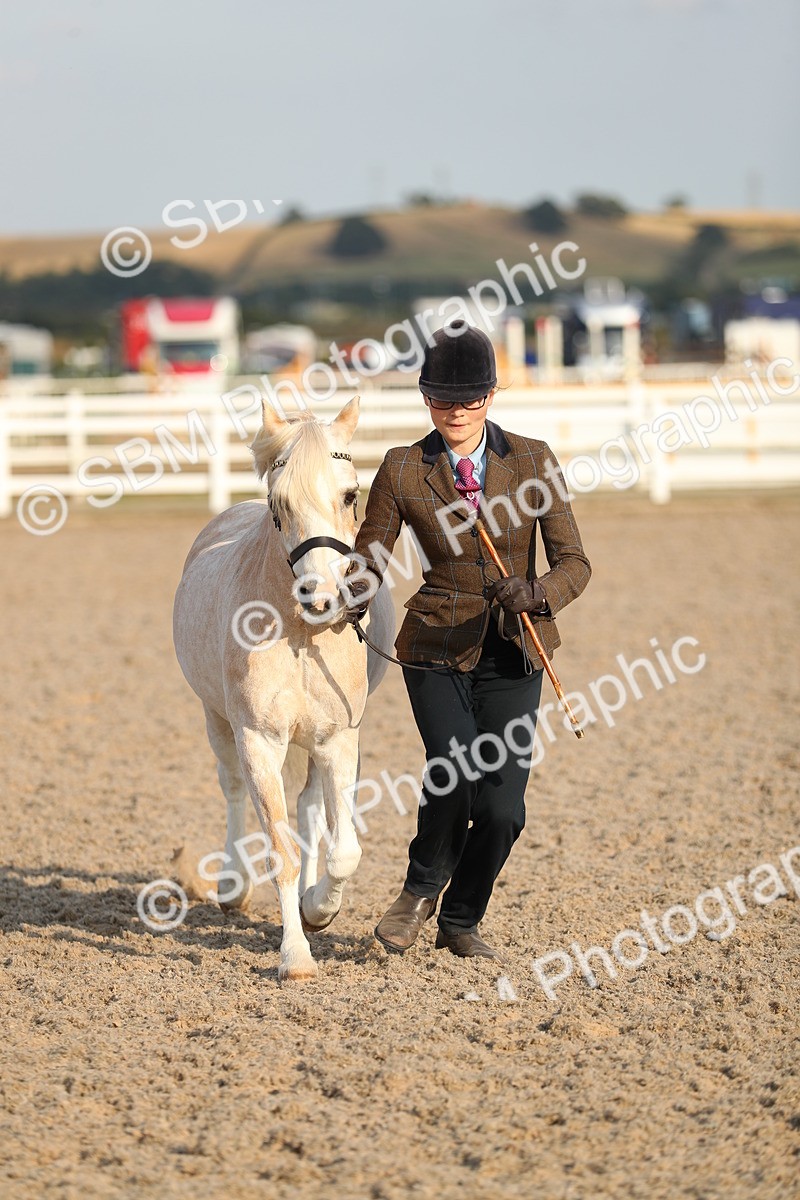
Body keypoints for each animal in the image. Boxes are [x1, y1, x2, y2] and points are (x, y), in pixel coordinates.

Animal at [173, 395, 395, 981]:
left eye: (350, 493)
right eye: (280, 502)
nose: (323, 598)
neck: (299, 633)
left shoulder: (339, 739)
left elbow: (342, 849)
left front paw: (320, 910)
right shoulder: (259, 741)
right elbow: (280, 851)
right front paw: (295, 955)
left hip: (312, 741)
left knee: (311, 807)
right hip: (216, 719)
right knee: (231, 789)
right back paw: (231, 887)